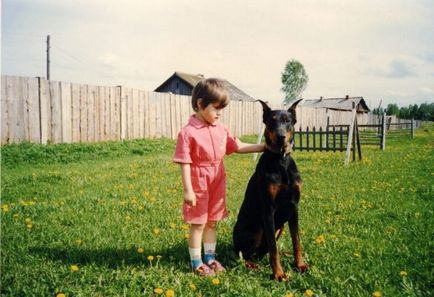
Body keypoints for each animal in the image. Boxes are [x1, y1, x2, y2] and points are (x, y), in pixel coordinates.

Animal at [232, 99, 306, 280]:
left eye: (287, 120)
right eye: (272, 121)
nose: (281, 137)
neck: (281, 161)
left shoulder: (294, 206)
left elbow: (296, 240)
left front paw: (299, 264)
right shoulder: (268, 209)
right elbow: (273, 248)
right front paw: (279, 274)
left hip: (281, 227)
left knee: (261, 253)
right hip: (256, 229)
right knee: (243, 255)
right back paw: (251, 264)